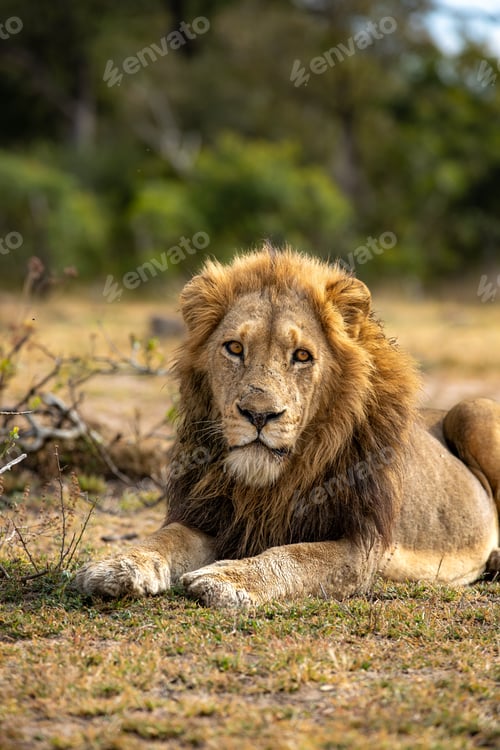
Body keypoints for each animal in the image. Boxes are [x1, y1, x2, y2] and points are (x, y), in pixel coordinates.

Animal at [75, 245, 500, 607]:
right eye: (234, 348)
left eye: (302, 356)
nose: (259, 415)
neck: (274, 481)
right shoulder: (213, 518)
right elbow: (165, 538)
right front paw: (117, 564)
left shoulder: (359, 546)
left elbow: (295, 555)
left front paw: (227, 579)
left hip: (474, 410)